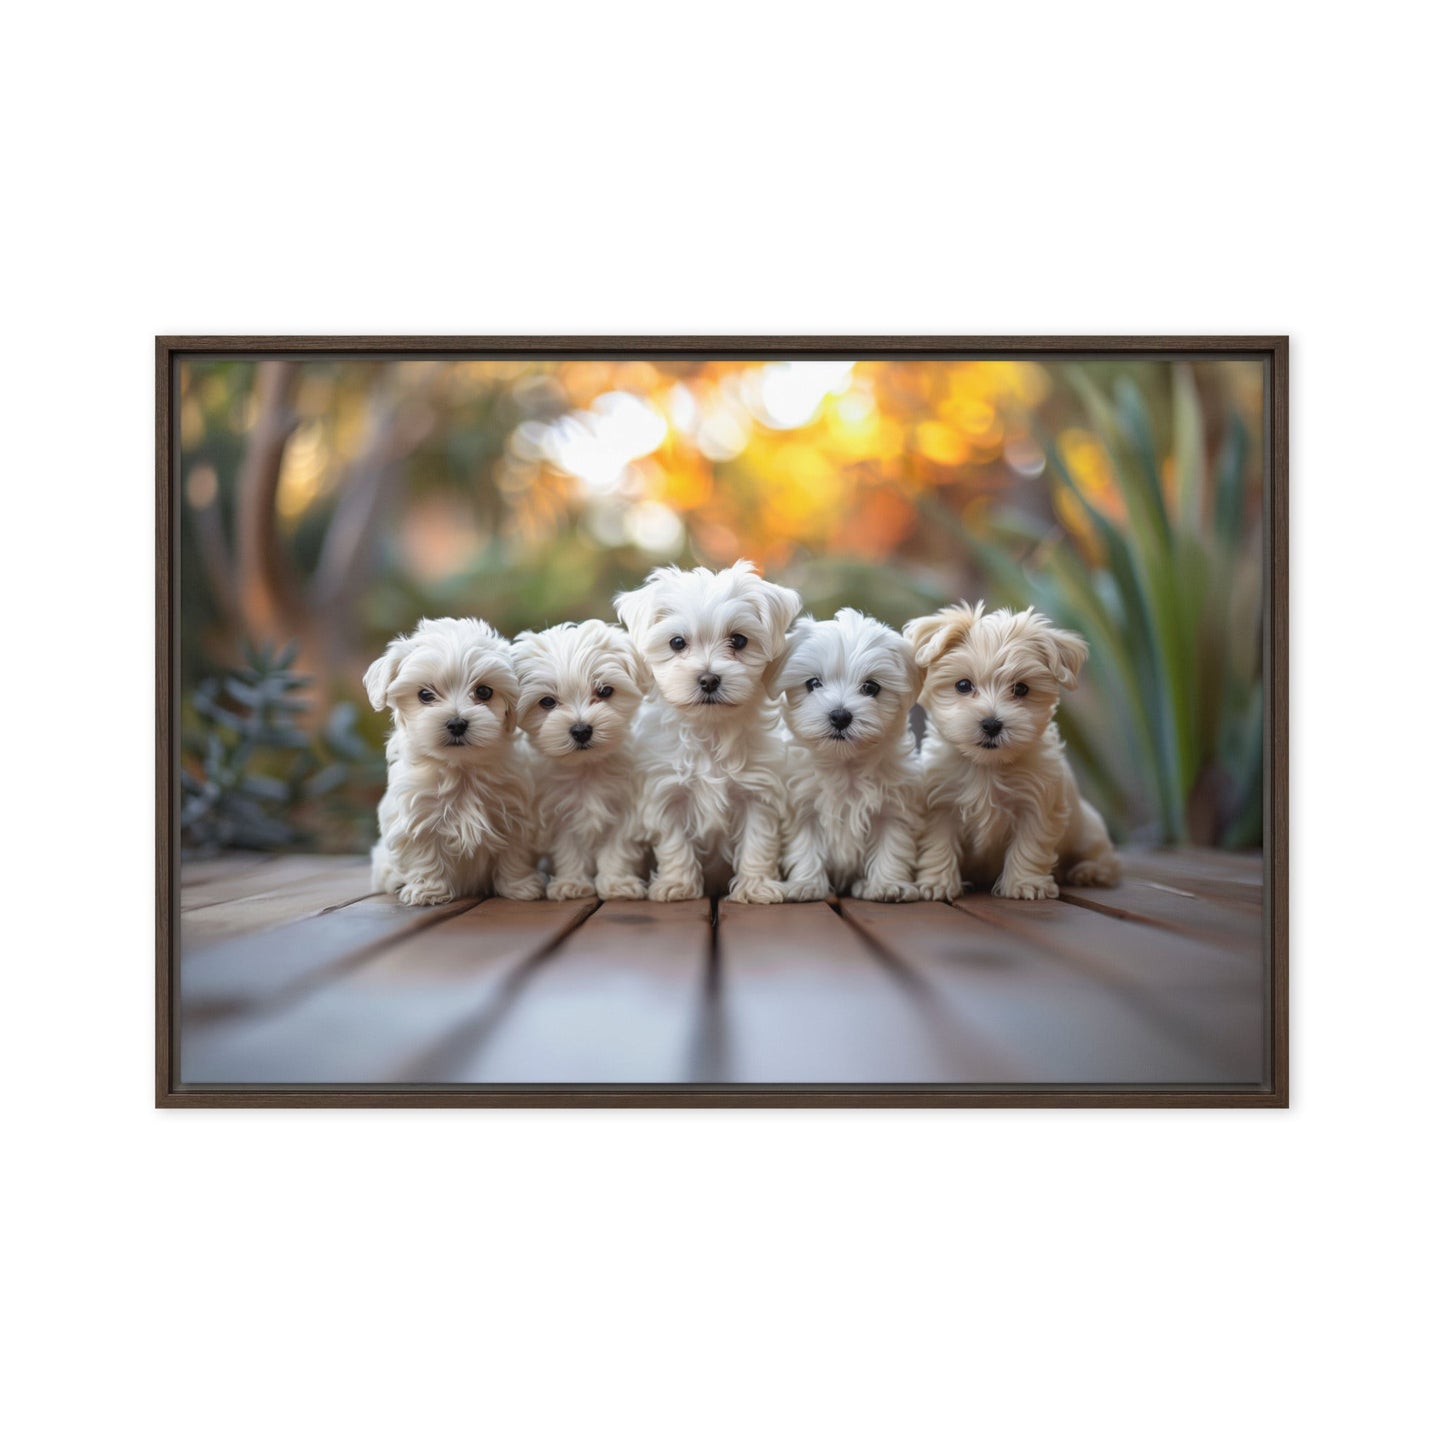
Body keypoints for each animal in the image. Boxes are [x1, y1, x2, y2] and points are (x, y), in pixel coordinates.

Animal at [361, 618, 543, 901]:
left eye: (484, 691)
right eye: (425, 695)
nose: (457, 723)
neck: (461, 767)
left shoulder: (516, 814)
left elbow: (514, 854)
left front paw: (519, 886)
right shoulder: (416, 817)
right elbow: (424, 854)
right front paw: (428, 890)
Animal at [505, 621, 647, 901]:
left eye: (605, 691)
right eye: (547, 701)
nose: (581, 730)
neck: (586, 768)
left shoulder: (624, 811)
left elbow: (617, 849)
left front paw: (616, 883)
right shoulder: (559, 815)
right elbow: (569, 850)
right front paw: (572, 883)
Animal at [615, 554, 809, 901]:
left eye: (739, 640)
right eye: (677, 642)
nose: (708, 679)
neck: (710, 730)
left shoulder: (758, 794)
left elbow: (758, 842)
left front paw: (756, 887)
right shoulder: (668, 793)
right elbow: (674, 843)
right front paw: (678, 885)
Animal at [774, 609, 919, 901]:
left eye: (871, 687)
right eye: (813, 683)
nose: (840, 716)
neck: (845, 763)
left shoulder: (893, 807)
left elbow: (892, 844)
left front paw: (888, 884)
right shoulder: (802, 806)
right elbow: (805, 845)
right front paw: (806, 884)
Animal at [907, 601, 1121, 895]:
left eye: (1021, 689)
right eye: (963, 685)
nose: (991, 724)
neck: (987, 766)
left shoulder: (1037, 804)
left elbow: (1029, 845)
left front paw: (1025, 883)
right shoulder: (940, 804)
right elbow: (938, 844)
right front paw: (936, 883)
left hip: (1088, 831)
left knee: (1106, 859)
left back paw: (1089, 871)